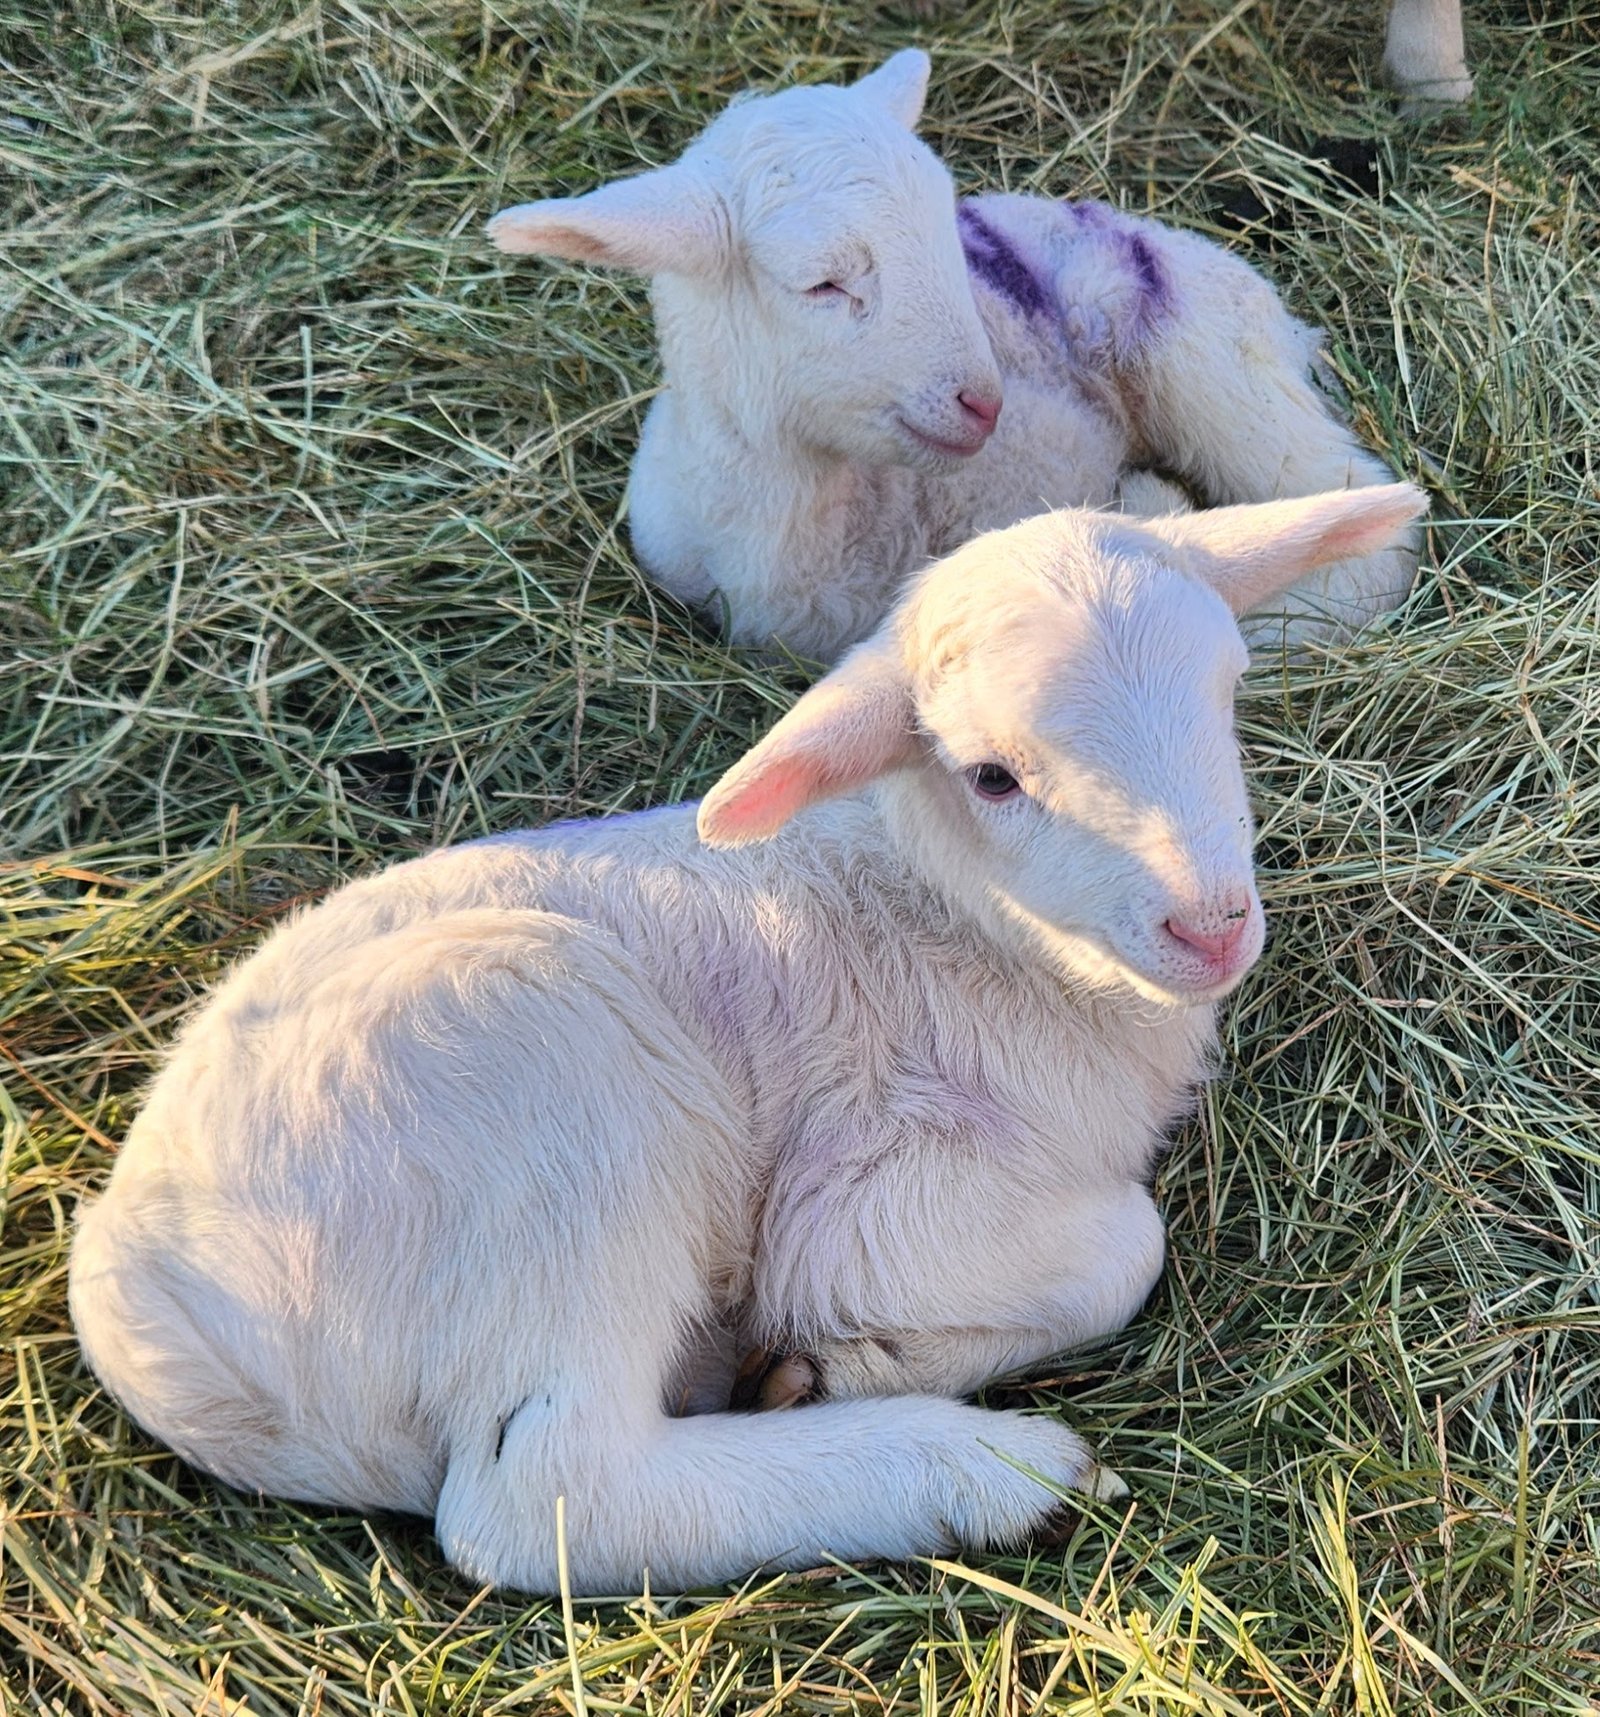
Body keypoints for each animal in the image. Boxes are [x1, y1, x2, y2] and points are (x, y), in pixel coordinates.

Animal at [68, 481, 1424, 1596]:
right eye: (992, 776)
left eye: (1227, 692)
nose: (1211, 925)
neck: (953, 922)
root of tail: (141, 1296)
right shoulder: (875, 1200)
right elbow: (1121, 1249)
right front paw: (851, 1359)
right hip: (535, 1094)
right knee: (549, 1497)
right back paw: (986, 1473)